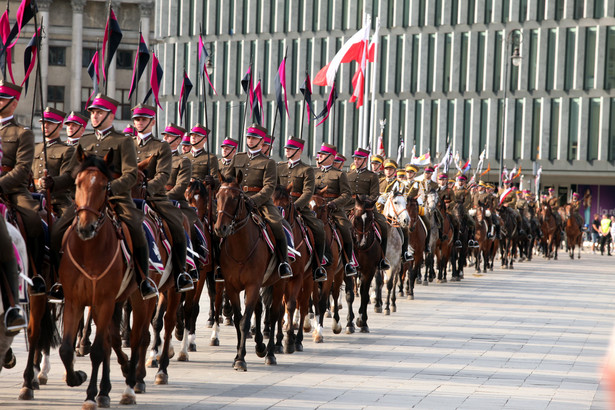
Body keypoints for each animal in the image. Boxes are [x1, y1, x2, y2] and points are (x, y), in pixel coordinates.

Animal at [57, 149, 150, 408]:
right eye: (77, 183)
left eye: (104, 186)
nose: (85, 227)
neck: (89, 249)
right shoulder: (75, 301)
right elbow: (66, 349)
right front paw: (77, 377)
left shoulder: (104, 300)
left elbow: (99, 350)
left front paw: (89, 395)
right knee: (112, 341)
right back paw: (106, 388)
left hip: (138, 299)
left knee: (137, 338)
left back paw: (129, 384)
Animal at [215, 173, 282, 368]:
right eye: (217, 197)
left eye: (235, 198)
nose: (220, 228)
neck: (240, 247)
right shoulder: (231, 286)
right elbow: (239, 319)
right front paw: (238, 355)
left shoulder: (253, 285)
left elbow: (245, 321)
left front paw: (240, 359)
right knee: (259, 309)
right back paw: (260, 346)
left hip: (279, 283)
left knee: (274, 314)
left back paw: (270, 353)